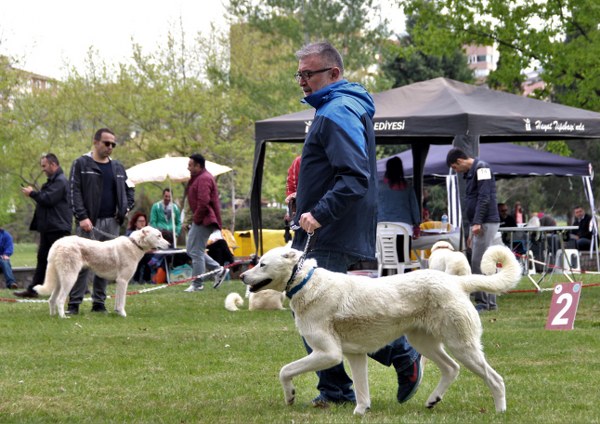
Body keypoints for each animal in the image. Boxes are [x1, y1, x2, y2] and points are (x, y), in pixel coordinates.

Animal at [34, 227, 170, 316]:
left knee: (51, 299)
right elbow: (122, 301)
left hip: (59, 279)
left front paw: (117, 313)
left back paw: (53, 317)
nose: (169, 245)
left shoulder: (119, 282)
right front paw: (123, 315)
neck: (135, 244)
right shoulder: (123, 280)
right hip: (70, 278)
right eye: (159, 236)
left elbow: (118, 300)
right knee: (60, 300)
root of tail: (58, 242)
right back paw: (63, 317)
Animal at [239, 243, 520, 416]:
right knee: (451, 368)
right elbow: (362, 391)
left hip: (462, 345)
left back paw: (500, 411)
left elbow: (285, 370)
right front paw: (361, 412)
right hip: (425, 343)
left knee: (495, 379)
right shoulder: (355, 355)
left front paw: (290, 396)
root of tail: (457, 281)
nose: (242, 276)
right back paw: (432, 399)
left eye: (262, 264)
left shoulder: (329, 354)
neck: (305, 282)